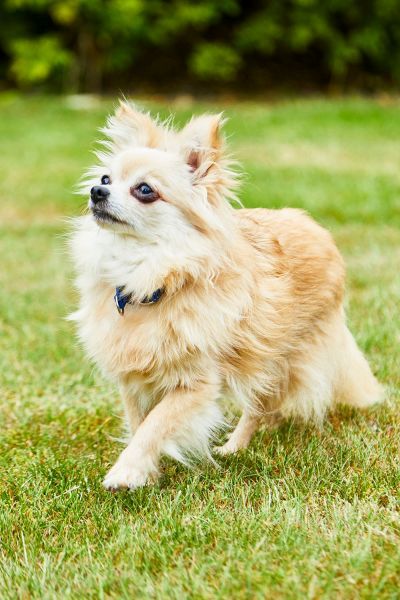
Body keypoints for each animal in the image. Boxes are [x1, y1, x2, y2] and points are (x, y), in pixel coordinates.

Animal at [69, 101, 382, 490]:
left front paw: (126, 471)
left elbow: (156, 424)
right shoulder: (134, 377)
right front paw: (147, 472)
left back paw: (234, 447)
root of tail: (315, 228)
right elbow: (139, 422)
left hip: (276, 359)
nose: (96, 192)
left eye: (144, 190)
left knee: (259, 407)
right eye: (105, 179)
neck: (148, 275)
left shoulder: (197, 384)